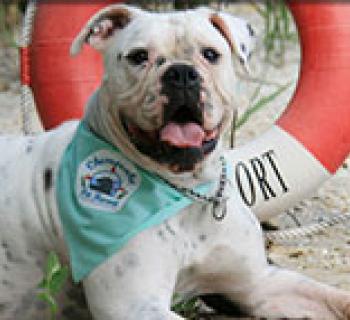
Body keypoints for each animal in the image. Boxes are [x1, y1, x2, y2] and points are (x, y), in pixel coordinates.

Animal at [0, 5, 350, 320]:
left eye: (210, 54)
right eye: (138, 56)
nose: (181, 72)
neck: (188, 192)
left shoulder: (259, 285)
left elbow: (333, 296)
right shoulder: (134, 306)